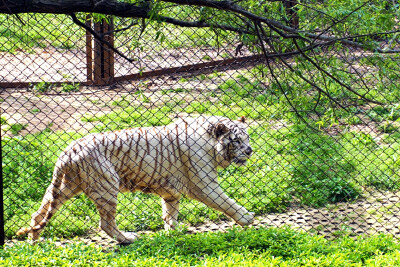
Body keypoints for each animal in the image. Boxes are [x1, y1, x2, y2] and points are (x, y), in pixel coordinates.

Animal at [17, 115, 255, 245]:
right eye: (236, 140)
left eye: (248, 137)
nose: (250, 151)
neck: (212, 146)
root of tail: (69, 150)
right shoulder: (204, 185)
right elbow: (226, 202)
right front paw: (247, 218)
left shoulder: (171, 192)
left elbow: (170, 213)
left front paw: (173, 231)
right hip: (106, 187)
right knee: (106, 223)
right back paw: (128, 239)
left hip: (63, 188)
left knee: (38, 214)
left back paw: (34, 241)